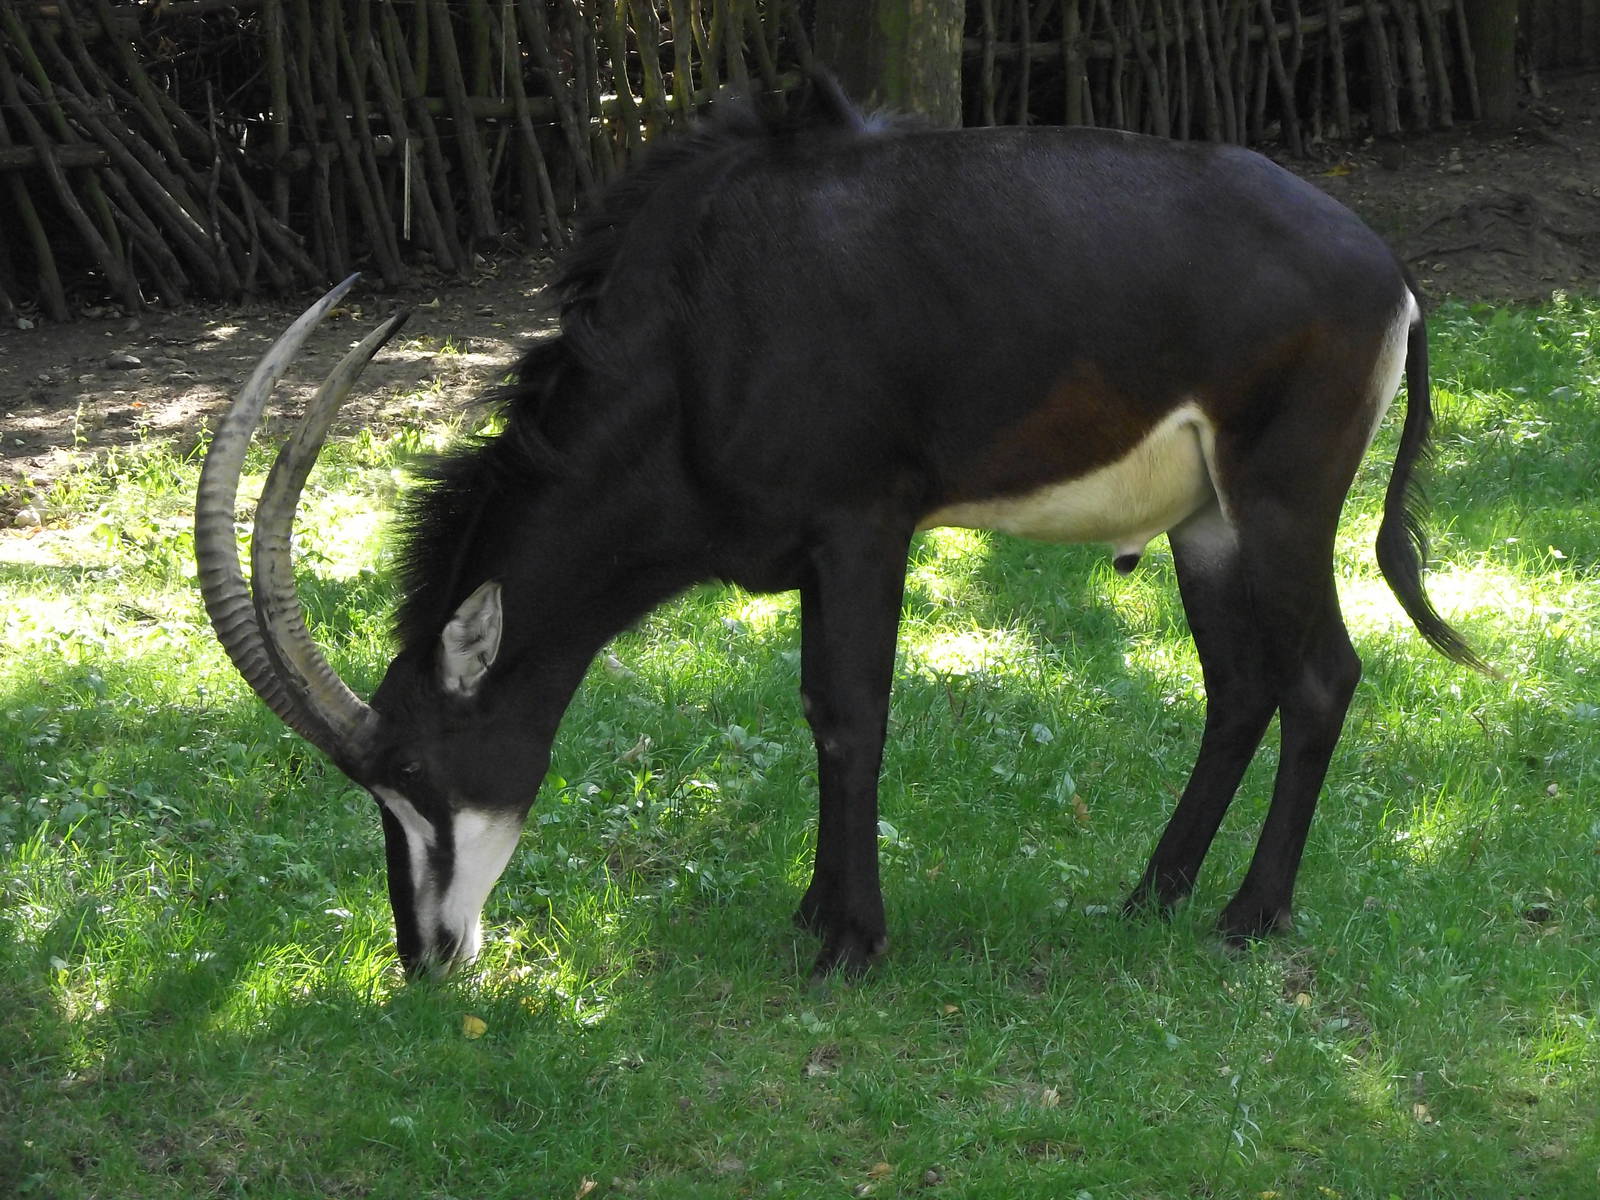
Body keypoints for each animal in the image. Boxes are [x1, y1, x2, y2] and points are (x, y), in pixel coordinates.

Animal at [196, 77, 1482, 980]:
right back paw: (1151, 894)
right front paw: (816, 908)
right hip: (1204, 522)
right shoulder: (813, 550)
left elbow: (853, 716)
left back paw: (1248, 916)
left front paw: (852, 941)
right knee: (1239, 687)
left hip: (1280, 503)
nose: (424, 957)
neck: (699, 327)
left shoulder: (864, 523)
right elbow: (816, 712)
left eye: (413, 769)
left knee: (1319, 678)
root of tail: (1388, 269)